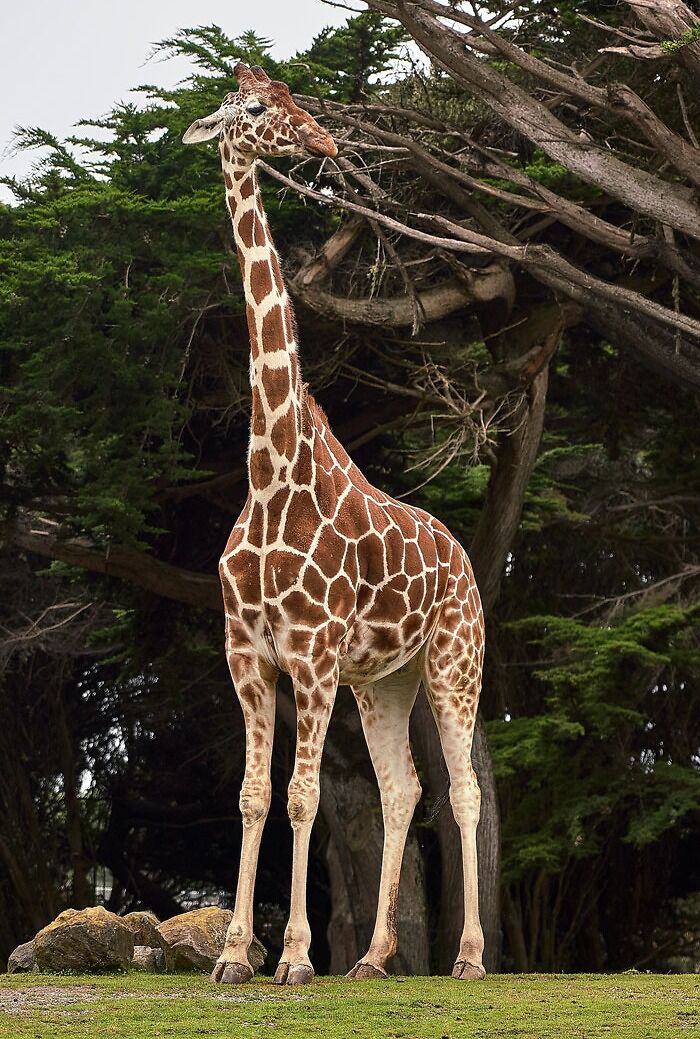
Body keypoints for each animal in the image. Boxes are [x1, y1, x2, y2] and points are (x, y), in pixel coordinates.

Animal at [183, 62, 486, 986]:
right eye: (254, 108)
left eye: (294, 97)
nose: (321, 141)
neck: (271, 472)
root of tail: (464, 559)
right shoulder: (249, 654)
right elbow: (254, 794)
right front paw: (234, 956)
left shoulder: (311, 654)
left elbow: (303, 794)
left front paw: (292, 958)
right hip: (382, 680)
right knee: (402, 788)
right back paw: (376, 958)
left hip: (454, 659)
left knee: (461, 788)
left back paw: (468, 956)